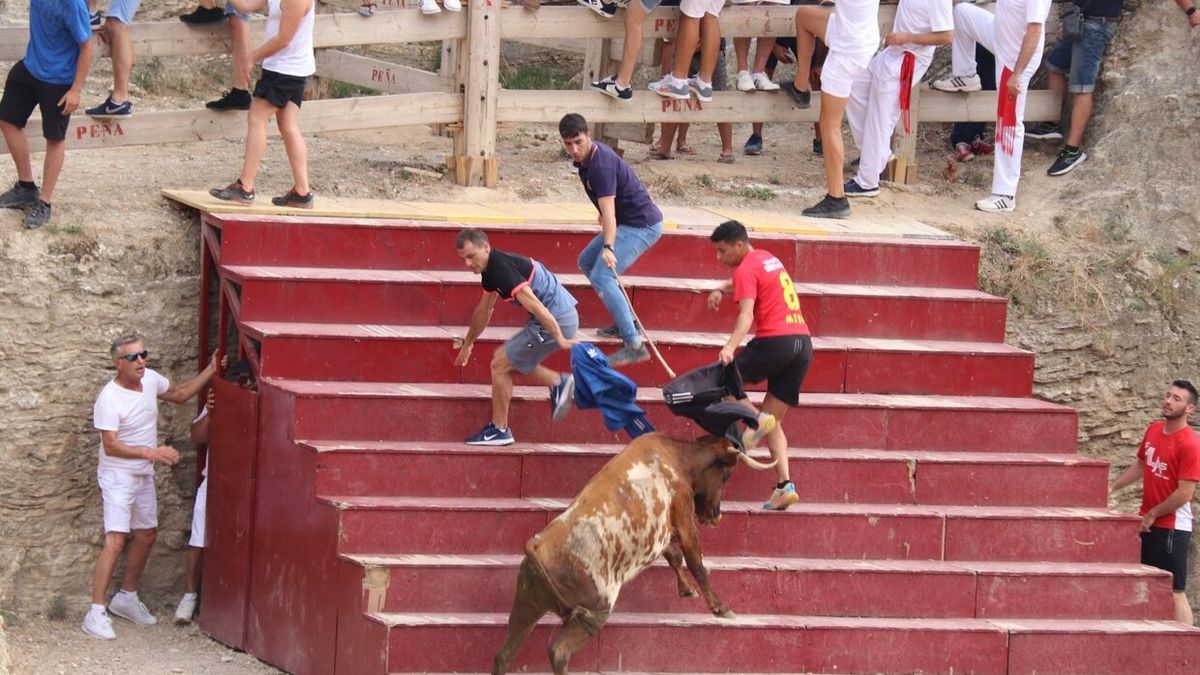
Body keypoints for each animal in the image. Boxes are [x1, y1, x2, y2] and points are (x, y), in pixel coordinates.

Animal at [489, 429, 777, 672]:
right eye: (727, 475)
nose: (716, 516)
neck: (677, 457)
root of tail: (538, 546)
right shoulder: (684, 519)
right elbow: (696, 563)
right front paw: (720, 607)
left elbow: (674, 556)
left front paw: (686, 589)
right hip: (593, 613)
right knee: (558, 652)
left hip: (527, 603)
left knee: (504, 654)